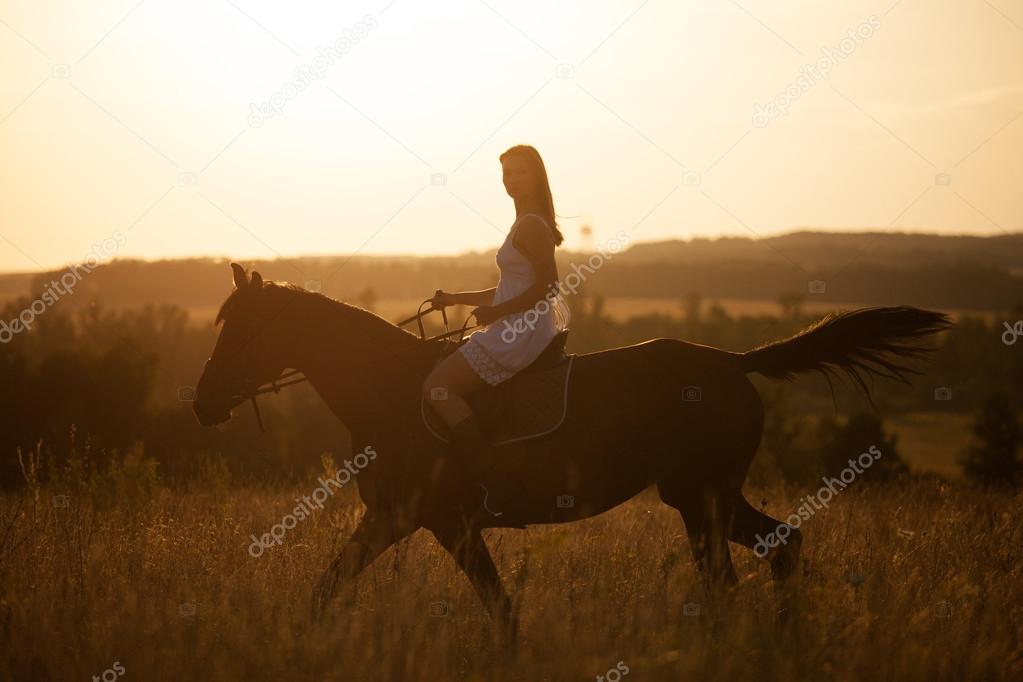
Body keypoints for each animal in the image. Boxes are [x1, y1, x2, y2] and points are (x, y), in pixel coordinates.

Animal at [193, 265, 949, 633]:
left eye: (244, 329)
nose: (200, 403)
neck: (389, 392)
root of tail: (734, 362)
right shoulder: (397, 520)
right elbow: (327, 590)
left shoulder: (436, 521)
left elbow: (498, 610)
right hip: (700, 499)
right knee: (771, 551)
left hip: (699, 494)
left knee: (753, 562)